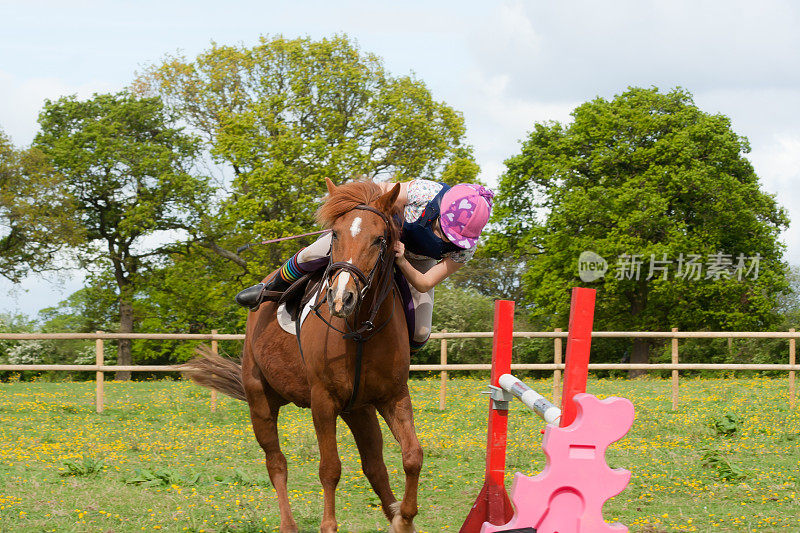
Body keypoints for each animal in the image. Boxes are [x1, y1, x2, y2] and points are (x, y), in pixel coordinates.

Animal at [180, 180, 418, 532]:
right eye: (335, 235)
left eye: (380, 239)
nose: (341, 298)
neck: (360, 331)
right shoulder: (322, 402)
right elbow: (330, 469)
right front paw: (329, 525)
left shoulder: (393, 397)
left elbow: (412, 456)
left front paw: (405, 517)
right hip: (261, 403)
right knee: (276, 464)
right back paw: (288, 524)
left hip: (357, 410)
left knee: (374, 466)